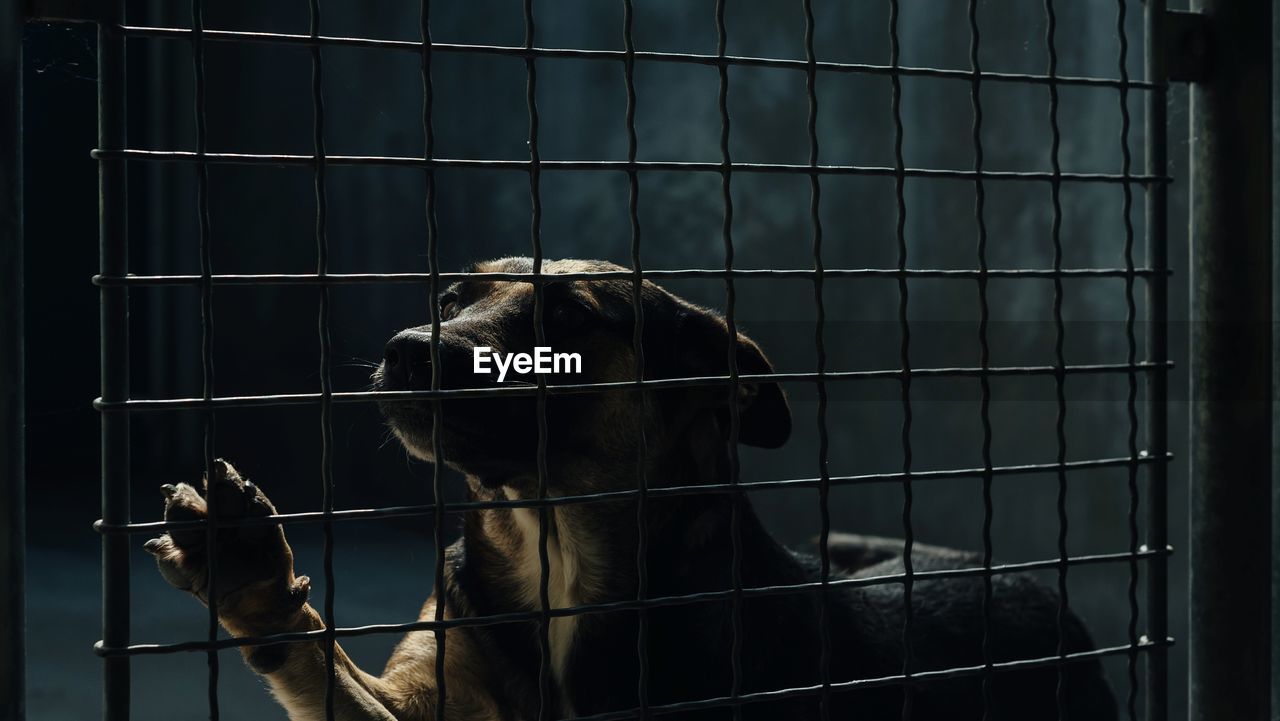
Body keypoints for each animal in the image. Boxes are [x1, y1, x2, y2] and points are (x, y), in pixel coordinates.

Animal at [145, 256, 1116, 717]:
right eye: (453, 299)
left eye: (570, 318)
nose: (406, 351)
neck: (556, 545)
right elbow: (318, 657)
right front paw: (249, 571)